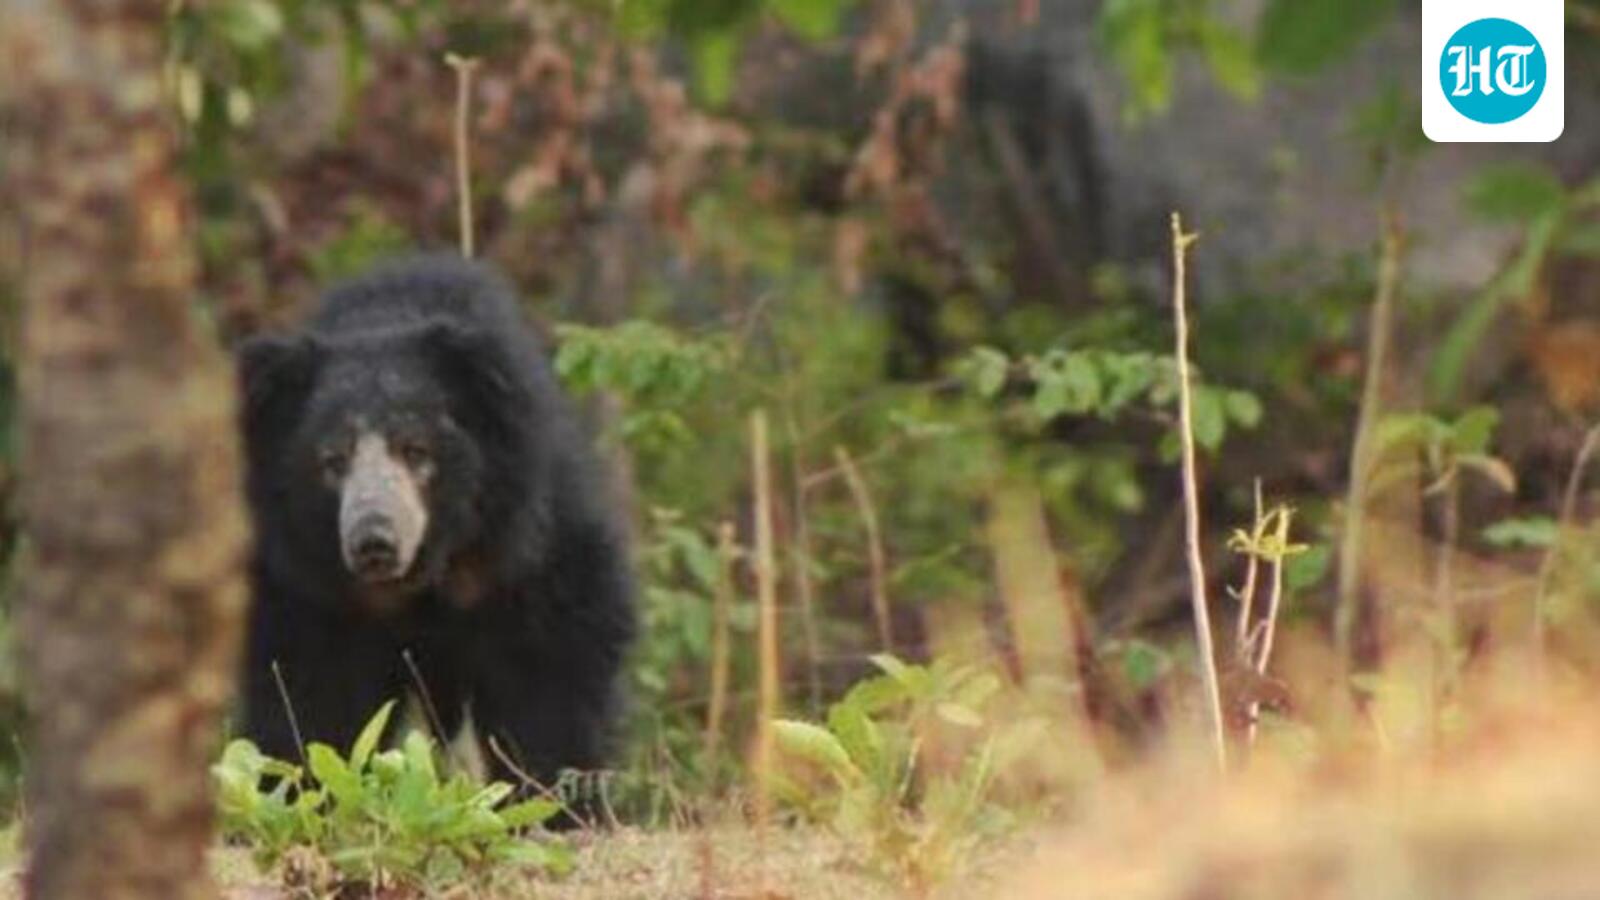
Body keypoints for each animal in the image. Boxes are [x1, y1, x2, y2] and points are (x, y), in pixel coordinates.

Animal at [235, 254, 636, 806]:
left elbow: (551, 673)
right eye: (332, 461)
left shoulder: (527, 551)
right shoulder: (309, 587)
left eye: (415, 450)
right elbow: (307, 689)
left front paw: (555, 800)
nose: (374, 541)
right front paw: (300, 793)